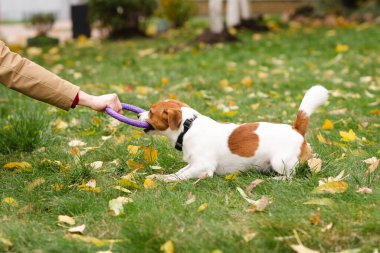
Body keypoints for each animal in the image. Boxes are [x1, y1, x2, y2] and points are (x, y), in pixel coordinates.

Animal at [138, 86, 328, 181]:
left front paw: (164, 179)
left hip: (279, 161)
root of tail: (296, 129)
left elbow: (180, 176)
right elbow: (180, 171)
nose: (138, 115)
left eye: (151, 111)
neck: (188, 126)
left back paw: (277, 179)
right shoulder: (192, 164)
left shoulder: (203, 168)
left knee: (291, 176)